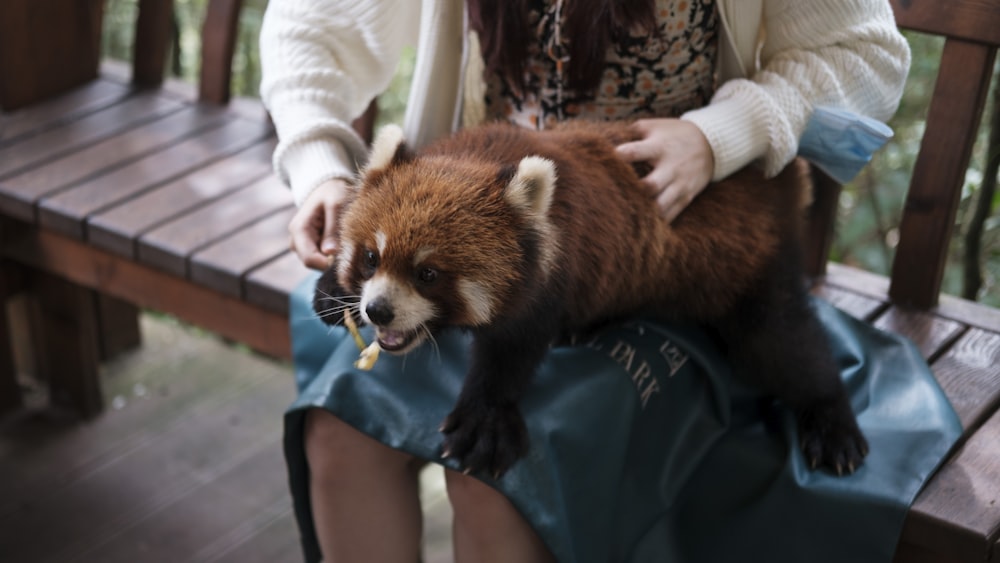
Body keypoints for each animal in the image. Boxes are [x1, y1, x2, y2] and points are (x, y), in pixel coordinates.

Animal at [314, 121, 868, 478]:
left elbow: (512, 352)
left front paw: (484, 418)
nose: (378, 310)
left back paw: (832, 422)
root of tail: (772, 178)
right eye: (370, 259)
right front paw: (332, 289)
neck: (484, 154)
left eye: (427, 274)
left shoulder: (552, 275)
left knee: (782, 343)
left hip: (746, 266)